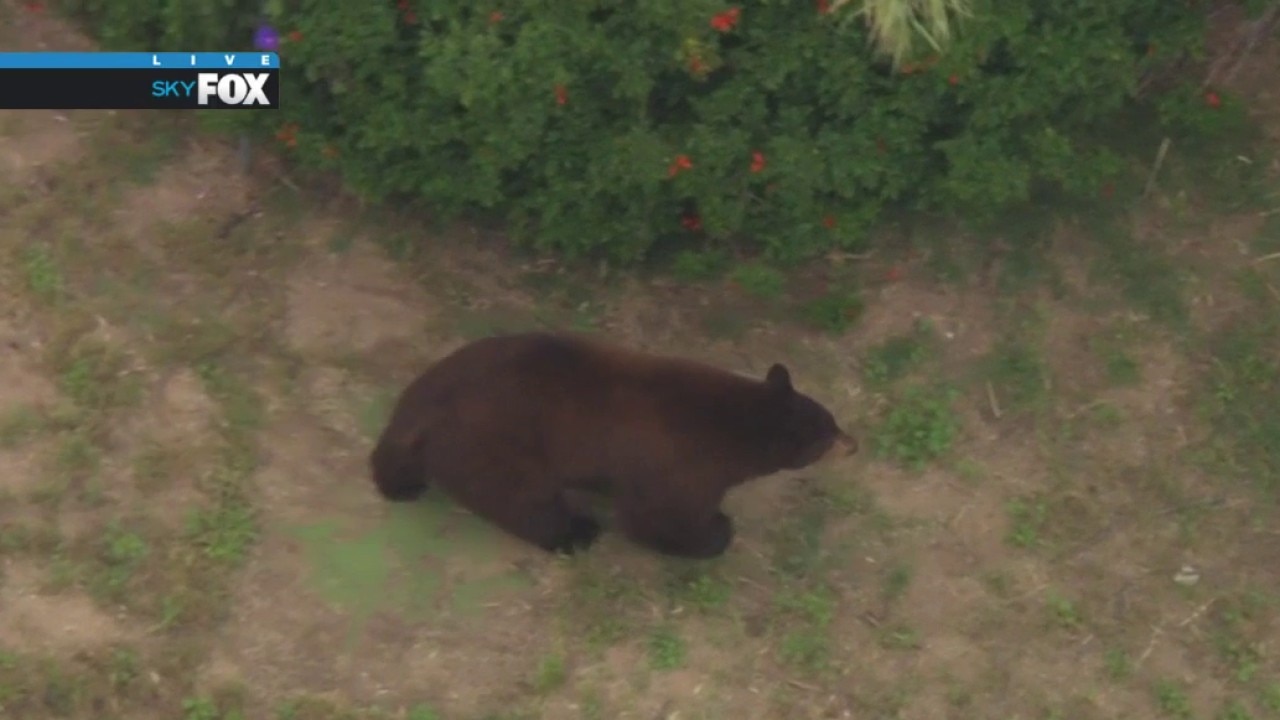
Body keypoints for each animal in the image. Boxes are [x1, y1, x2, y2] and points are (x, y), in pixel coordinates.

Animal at [369, 331, 856, 559]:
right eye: (829, 434)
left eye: (832, 422)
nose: (854, 443)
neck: (735, 425)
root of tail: (423, 409)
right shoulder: (680, 464)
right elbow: (659, 516)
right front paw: (717, 529)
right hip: (496, 448)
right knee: (525, 501)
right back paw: (577, 532)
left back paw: (399, 481)